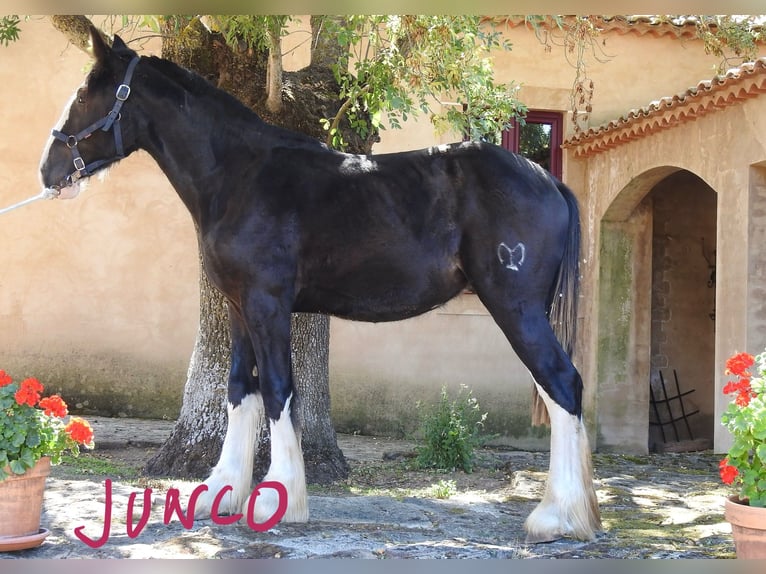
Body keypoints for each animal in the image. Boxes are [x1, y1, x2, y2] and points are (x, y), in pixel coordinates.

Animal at [40, 28, 608, 544]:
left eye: (87, 93)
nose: (47, 170)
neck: (239, 175)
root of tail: (547, 179)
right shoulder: (239, 307)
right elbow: (239, 390)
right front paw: (224, 490)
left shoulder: (268, 305)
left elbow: (277, 390)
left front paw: (277, 499)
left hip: (516, 307)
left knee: (562, 385)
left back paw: (556, 518)